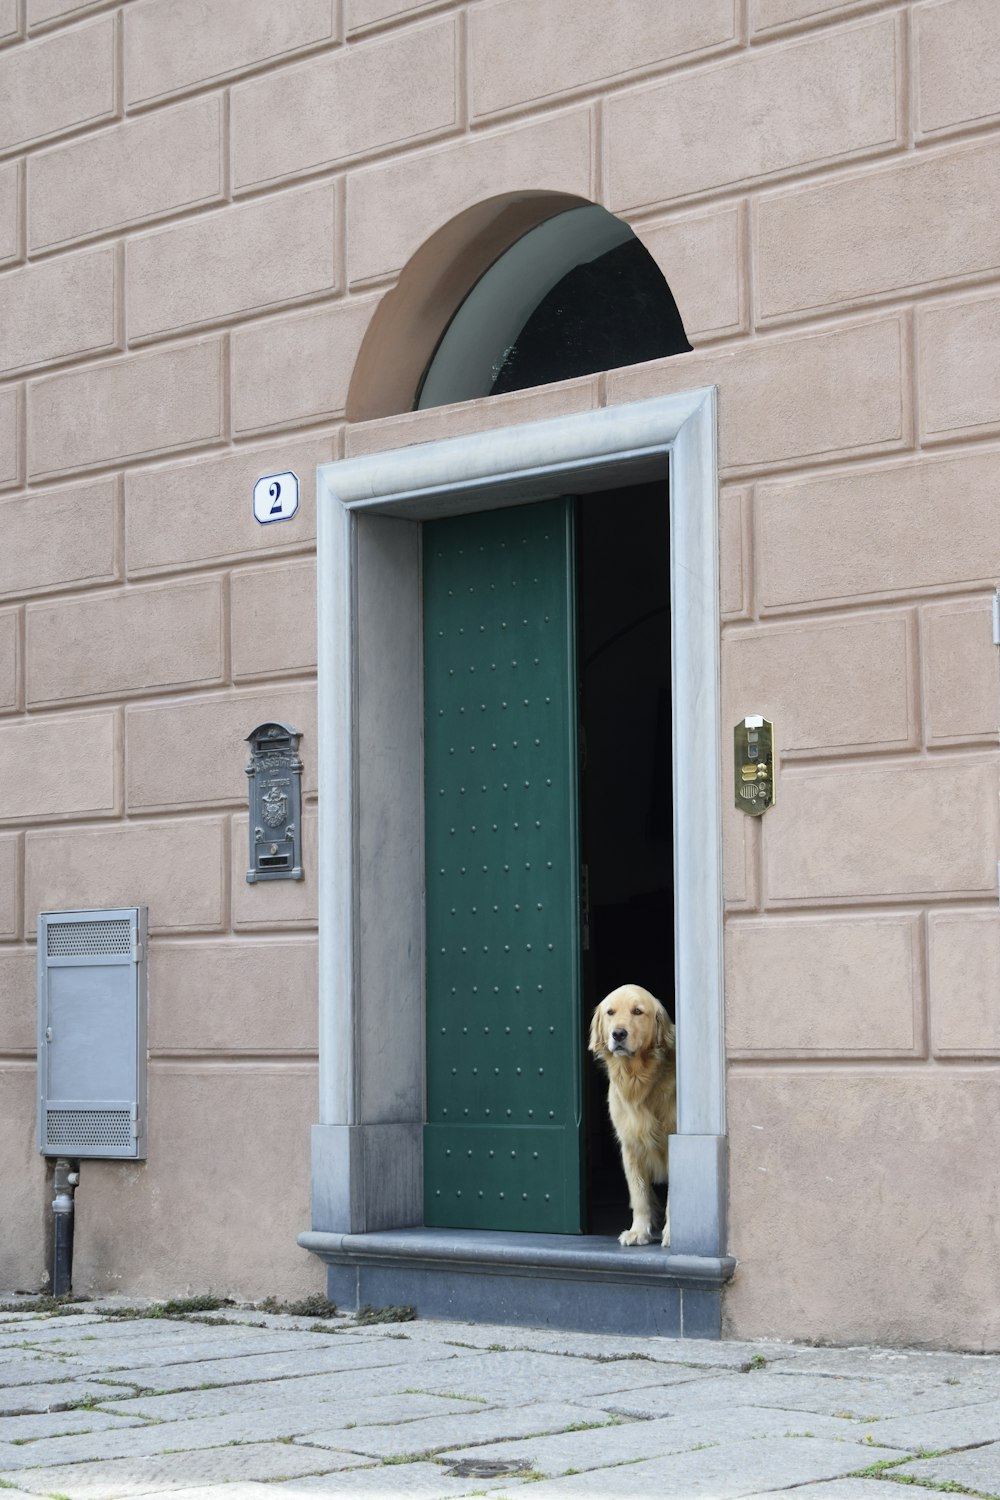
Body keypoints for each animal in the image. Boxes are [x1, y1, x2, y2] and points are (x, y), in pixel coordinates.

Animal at [590, 984, 677, 1242]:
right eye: (610, 1012)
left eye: (637, 1011)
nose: (618, 1034)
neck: (637, 1078)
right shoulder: (630, 1145)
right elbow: (639, 1194)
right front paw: (638, 1231)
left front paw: (672, 1234)